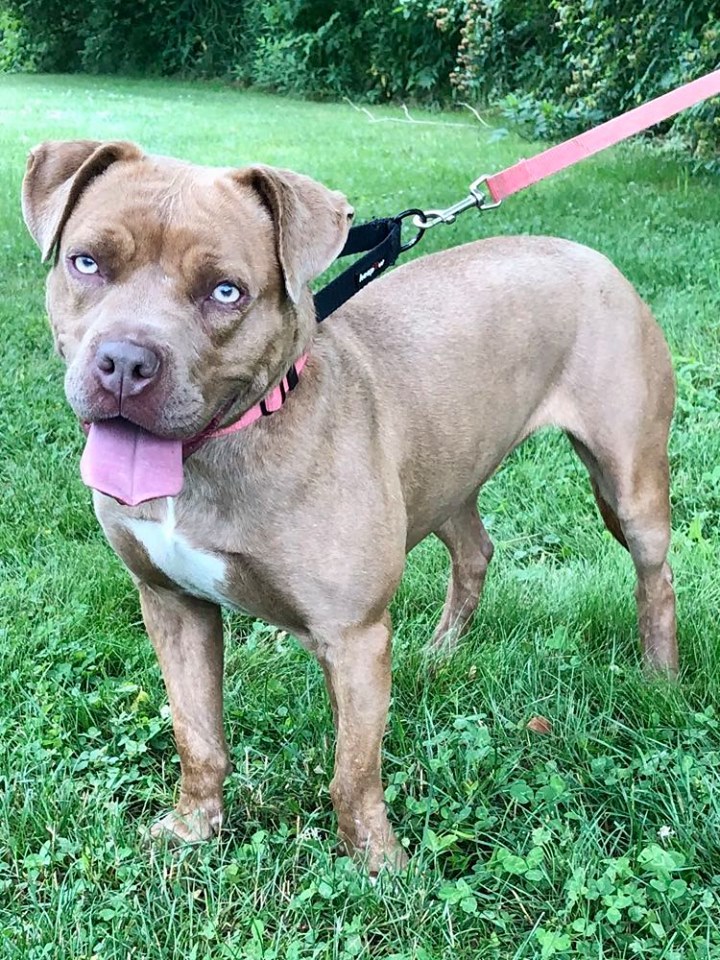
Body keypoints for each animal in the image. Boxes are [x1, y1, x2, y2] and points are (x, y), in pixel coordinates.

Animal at [21, 139, 676, 872]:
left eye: (226, 291)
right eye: (87, 262)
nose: (125, 364)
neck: (223, 450)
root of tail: (591, 254)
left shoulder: (353, 635)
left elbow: (352, 772)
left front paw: (379, 866)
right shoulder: (171, 603)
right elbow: (197, 735)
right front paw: (194, 827)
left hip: (629, 485)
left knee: (655, 578)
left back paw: (661, 681)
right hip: (446, 470)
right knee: (475, 552)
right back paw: (440, 652)